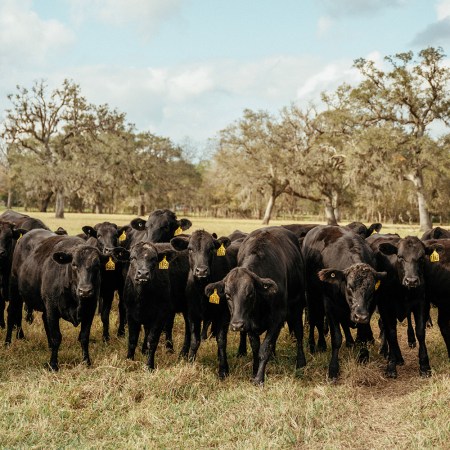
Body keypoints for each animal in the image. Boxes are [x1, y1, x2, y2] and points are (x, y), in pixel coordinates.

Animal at [7, 230, 125, 370]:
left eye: (97, 266)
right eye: (74, 265)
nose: (85, 291)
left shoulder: (89, 310)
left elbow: (84, 337)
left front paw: (86, 361)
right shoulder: (52, 309)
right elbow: (56, 337)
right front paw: (53, 365)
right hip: (14, 290)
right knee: (12, 313)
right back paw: (9, 341)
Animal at [170, 230, 239, 378]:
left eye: (211, 249)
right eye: (190, 249)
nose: (201, 271)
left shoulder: (224, 315)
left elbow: (221, 340)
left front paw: (223, 369)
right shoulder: (192, 314)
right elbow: (195, 340)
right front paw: (190, 362)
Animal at [204, 227, 306, 384]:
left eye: (250, 293)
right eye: (227, 295)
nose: (237, 325)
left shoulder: (278, 318)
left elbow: (264, 349)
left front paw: (259, 378)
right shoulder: (250, 324)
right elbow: (256, 348)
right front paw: (254, 371)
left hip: (297, 305)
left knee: (299, 332)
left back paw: (301, 362)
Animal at [300, 225, 384, 380]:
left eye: (371, 290)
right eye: (349, 287)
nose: (360, 316)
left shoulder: (368, 310)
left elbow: (363, 335)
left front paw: (363, 357)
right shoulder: (330, 306)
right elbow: (336, 338)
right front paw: (333, 369)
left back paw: (349, 342)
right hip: (311, 295)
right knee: (315, 320)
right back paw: (315, 345)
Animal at [366, 234, 442, 378]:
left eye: (421, 257)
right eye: (400, 257)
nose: (411, 281)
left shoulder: (421, 303)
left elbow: (420, 332)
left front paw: (424, 366)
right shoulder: (386, 306)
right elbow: (391, 333)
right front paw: (391, 365)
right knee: (385, 328)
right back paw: (390, 353)